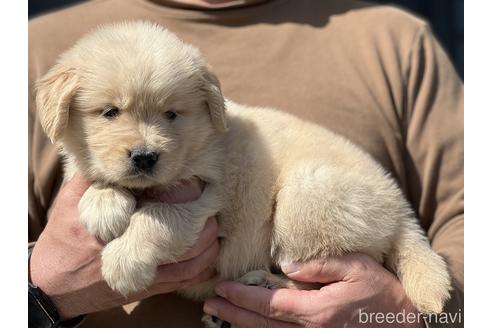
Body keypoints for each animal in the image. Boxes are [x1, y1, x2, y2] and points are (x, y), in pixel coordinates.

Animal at [34, 20, 450, 322]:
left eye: (171, 114)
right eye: (110, 112)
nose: (145, 157)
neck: (200, 139)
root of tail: (400, 209)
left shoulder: (208, 197)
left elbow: (160, 216)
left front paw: (123, 262)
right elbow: (103, 180)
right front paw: (103, 201)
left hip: (304, 198)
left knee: (313, 280)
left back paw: (263, 282)